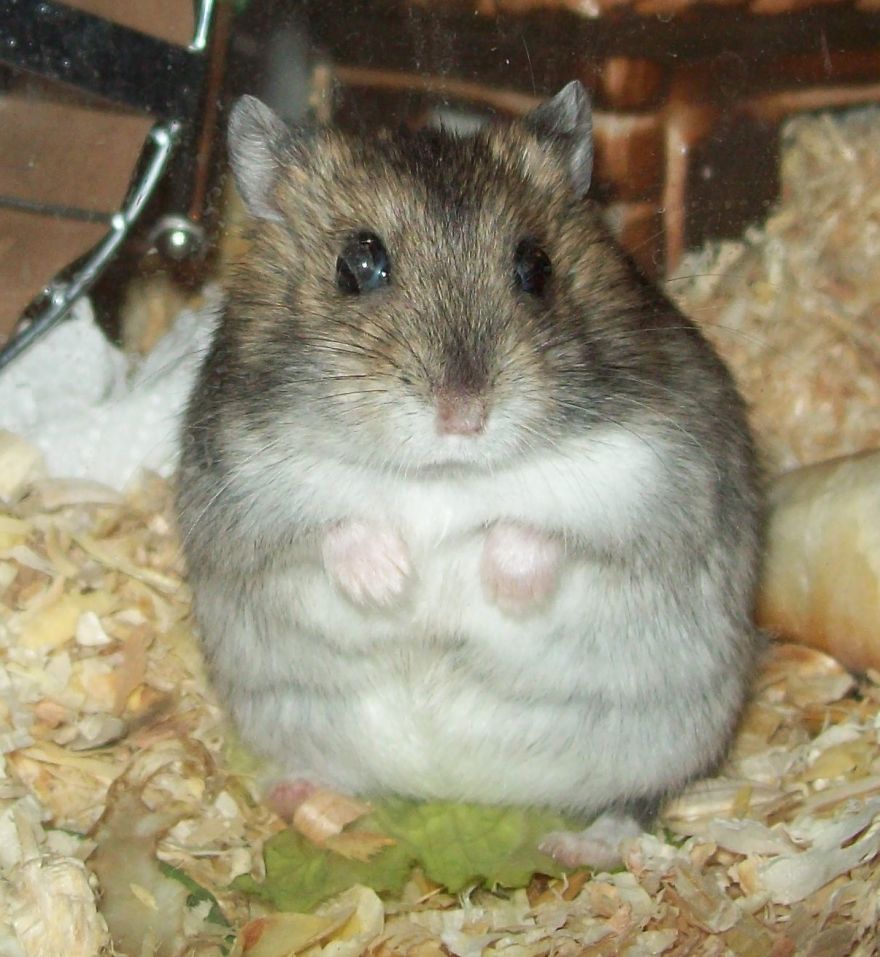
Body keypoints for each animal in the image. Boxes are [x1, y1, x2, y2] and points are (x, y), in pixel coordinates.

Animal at [176, 82, 762, 868]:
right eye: (356, 265)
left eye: (536, 265)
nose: (465, 413)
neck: (442, 475)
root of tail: (459, 787)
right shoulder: (241, 484)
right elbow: (331, 526)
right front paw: (392, 583)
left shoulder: (654, 473)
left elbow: (540, 528)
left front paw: (498, 583)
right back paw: (297, 796)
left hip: (667, 737)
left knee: (633, 805)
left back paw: (575, 846)